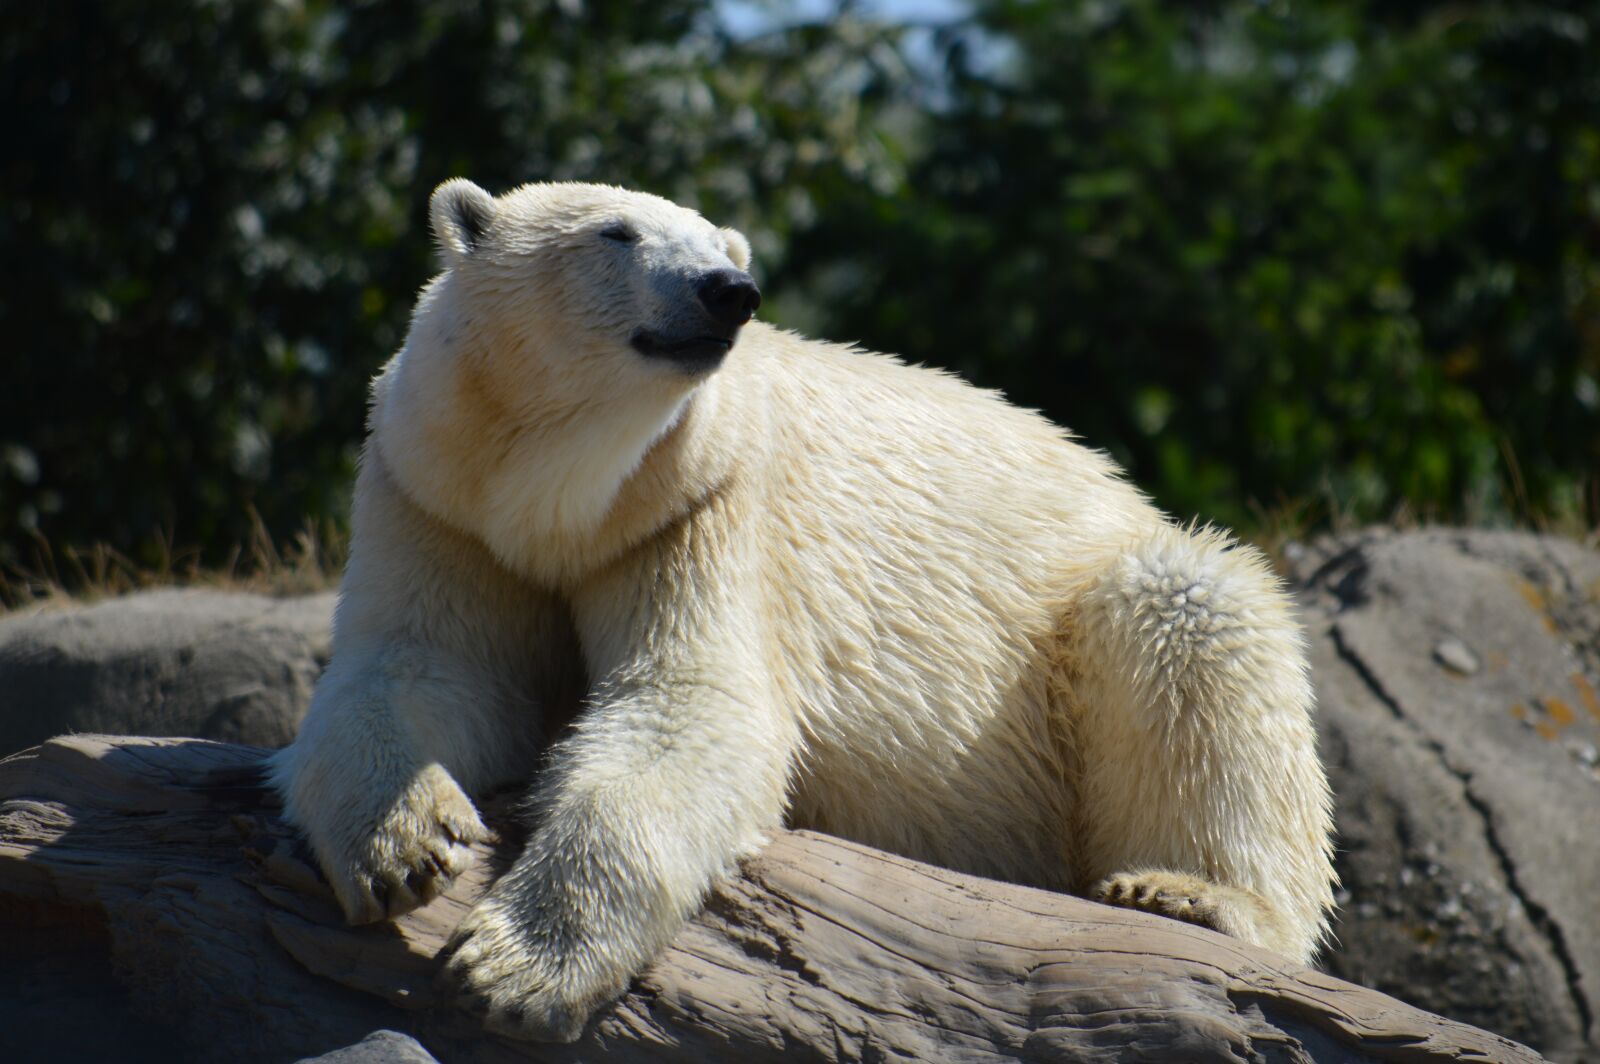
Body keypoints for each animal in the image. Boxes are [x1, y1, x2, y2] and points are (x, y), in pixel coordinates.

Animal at [269, 178, 1337, 1043]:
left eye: (719, 242)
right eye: (617, 231)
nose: (725, 290)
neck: (560, 495)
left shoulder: (699, 504)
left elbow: (691, 707)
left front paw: (515, 969)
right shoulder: (442, 497)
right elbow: (423, 666)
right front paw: (403, 846)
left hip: (1094, 615)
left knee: (1190, 614)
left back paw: (1187, 894)